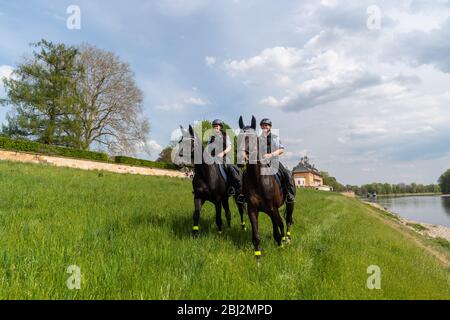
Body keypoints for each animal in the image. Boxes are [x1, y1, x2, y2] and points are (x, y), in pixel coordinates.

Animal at [236, 116, 296, 258]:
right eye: (238, 137)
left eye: (252, 138)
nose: (241, 159)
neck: (258, 180)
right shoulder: (252, 209)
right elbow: (256, 236)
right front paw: (258, 256)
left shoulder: (272, 209)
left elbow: (276, 232)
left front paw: (280, 247)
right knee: (281, 222)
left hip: (289, 203)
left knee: (288, 220)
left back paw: (287, 239)